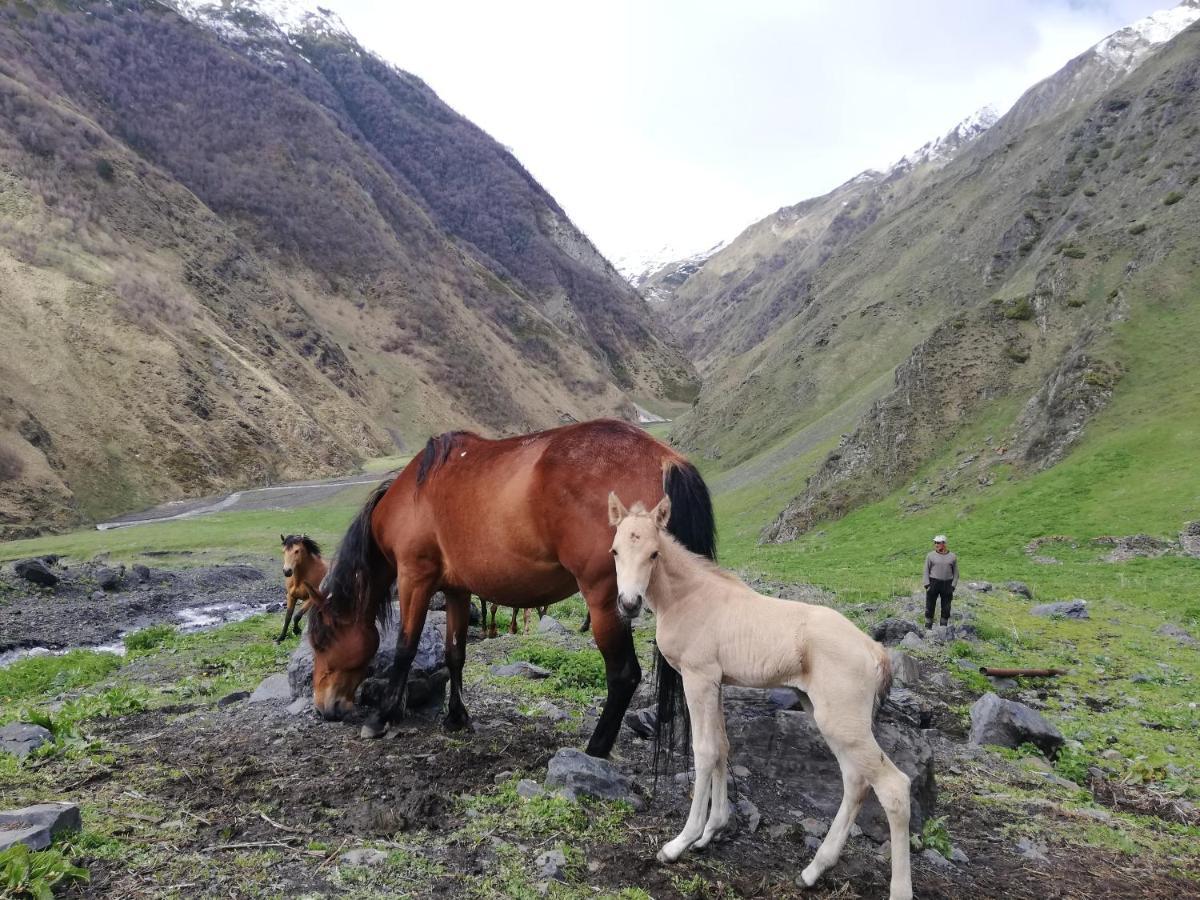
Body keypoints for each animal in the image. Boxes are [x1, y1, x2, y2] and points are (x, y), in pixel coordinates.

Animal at [304, 420, 710, 758]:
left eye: (321, 640)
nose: (324, 708)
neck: (411, 496)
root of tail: (665, 458)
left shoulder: (414, 578)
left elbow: (405, 647)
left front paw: (383, 716)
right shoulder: (456, 590)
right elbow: (455, 654)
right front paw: (456, 717)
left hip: (604, 599)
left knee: (624, 675)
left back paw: (595, 748)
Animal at [614, 494, 912, 900]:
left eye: (653, 553)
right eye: (614, 551)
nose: (628, 604)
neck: (689, 597)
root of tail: (876, 650)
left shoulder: (698, 677)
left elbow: (705, 751)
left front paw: (680, 843)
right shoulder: (716, 682)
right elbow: (722, 747)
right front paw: (712, 831)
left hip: (841, 720)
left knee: (894, 788)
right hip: (826, 715)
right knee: (855, 781)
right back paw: (812, 872)